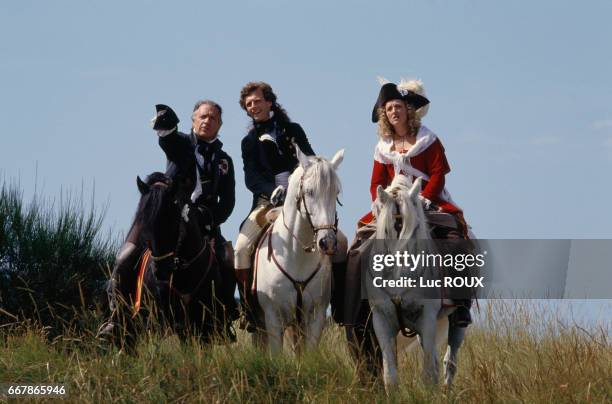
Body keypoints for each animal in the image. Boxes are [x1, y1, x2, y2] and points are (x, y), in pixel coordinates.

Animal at [250, 146, 344, 354]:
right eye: (309, 192)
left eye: (336, 191)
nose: (327, 242)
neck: (297, 256)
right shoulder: (273, 317)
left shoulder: (316, 316)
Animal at [366, 174, 466, 392]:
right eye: (386, 229)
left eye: (415, 228)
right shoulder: (382, 320)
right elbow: (390, 375)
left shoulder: (426, 318)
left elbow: (428, 373)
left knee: (449, 360)